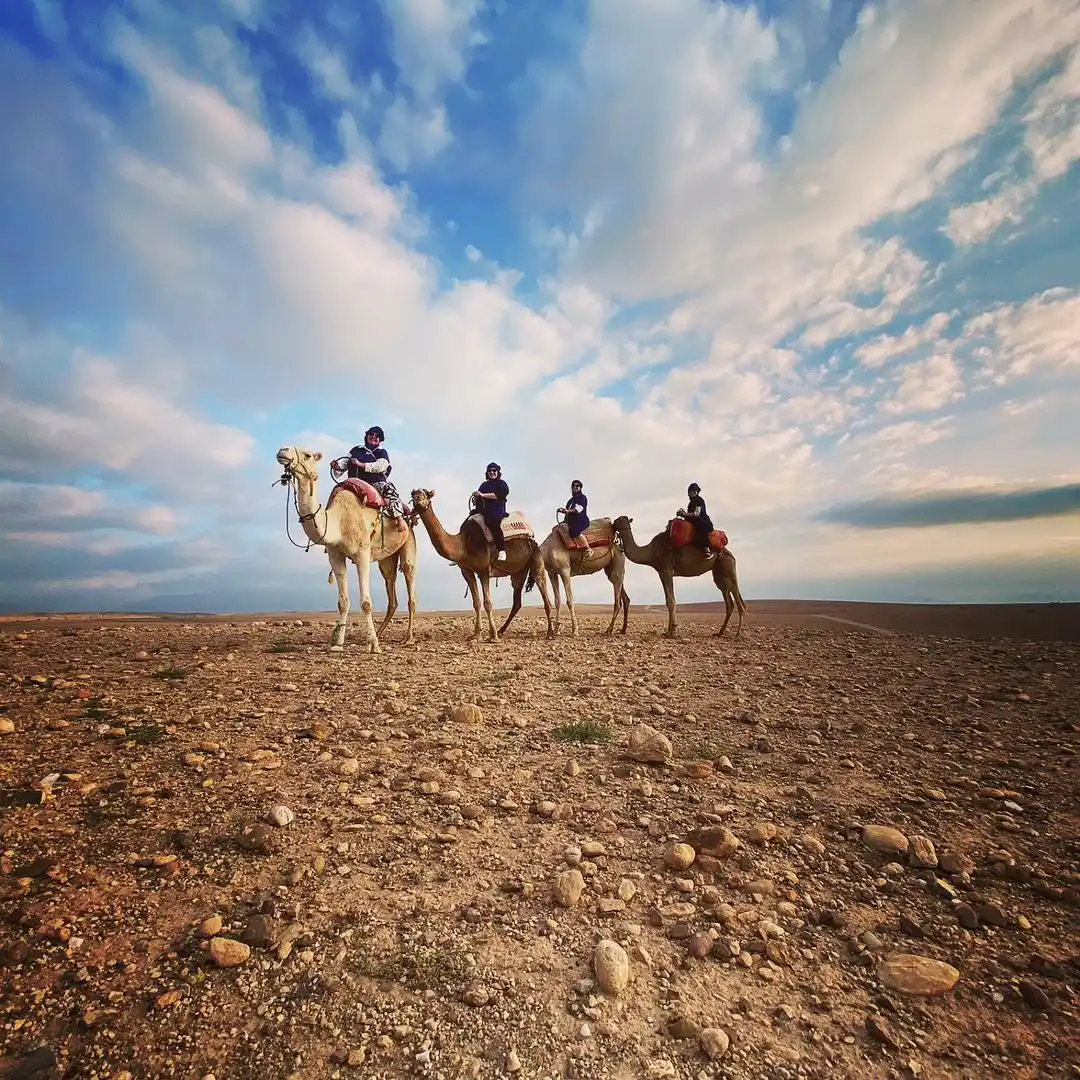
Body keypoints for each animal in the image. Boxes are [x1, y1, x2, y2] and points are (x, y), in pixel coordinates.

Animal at [275, 447, 418, 652]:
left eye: (308, 455)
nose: (282, 451)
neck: (338, 521)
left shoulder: (362, 554)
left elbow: (366, 603)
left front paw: (373, 645)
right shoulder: (335, 556)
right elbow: (343, 602)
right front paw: (338, 642)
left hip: (409, 542)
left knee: (410, 585)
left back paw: (408, 638)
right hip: (386, 559)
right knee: (391, 588)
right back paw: (379, 633)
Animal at [409, 488, 555, 642]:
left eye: (426, 494)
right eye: (413, 494)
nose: (417, 499)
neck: (464, 543)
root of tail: (532, 539)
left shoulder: (484, 570)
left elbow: (487, 603)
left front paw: (493, 636)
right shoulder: (467, 571)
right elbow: (476, 603)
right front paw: (476, 634)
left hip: (536, 559)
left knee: (544, 595)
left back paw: (550, 632)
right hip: (519, 572)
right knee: (517, 601)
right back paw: (502, 630)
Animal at [611, 515, 746, 638]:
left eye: (618, 520)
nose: (612, 524)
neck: (652, 551)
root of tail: (730, 554)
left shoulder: (666, 570)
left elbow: (671, 601)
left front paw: (672, 632)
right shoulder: (662, 572)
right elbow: (669, 600)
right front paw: (669, 630)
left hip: (728, 567)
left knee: (737, 595)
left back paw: (738, 633)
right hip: (719, 574)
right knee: (728, 600)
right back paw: (720, 632)